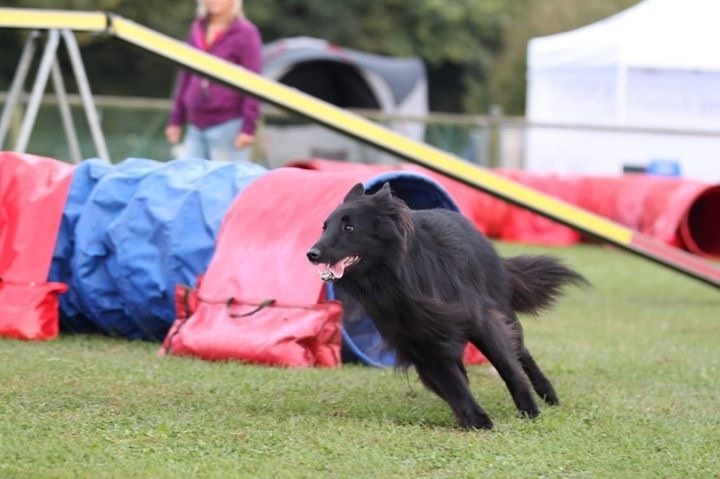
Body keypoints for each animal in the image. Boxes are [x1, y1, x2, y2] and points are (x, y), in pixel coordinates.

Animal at [306, 185, 588, 432]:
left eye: (349, 227)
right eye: (324, 227)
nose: (311, 253)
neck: (395, 282)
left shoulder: (480, 322)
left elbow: (508, 368)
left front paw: (529, 411)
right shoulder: (421, 345)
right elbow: (453, 384)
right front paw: (476, 419)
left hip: (501, 310)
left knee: (520, 351)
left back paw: (547, 393)